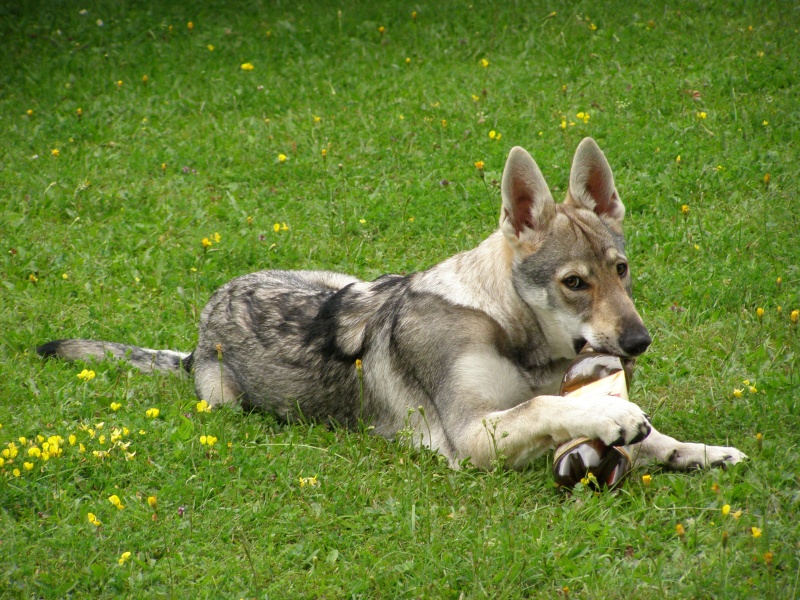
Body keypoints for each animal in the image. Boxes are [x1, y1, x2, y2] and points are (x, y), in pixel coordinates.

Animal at [37, 138, 748, 472]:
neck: (504, 326)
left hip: (345, 277)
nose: (638, 343)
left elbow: (637, 429)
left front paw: (695, 451)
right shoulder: (473, 435)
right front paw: (614, 419)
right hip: (227, 402)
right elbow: (550, 408)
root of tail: (201, 328)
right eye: (575, 283)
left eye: (621, 271)